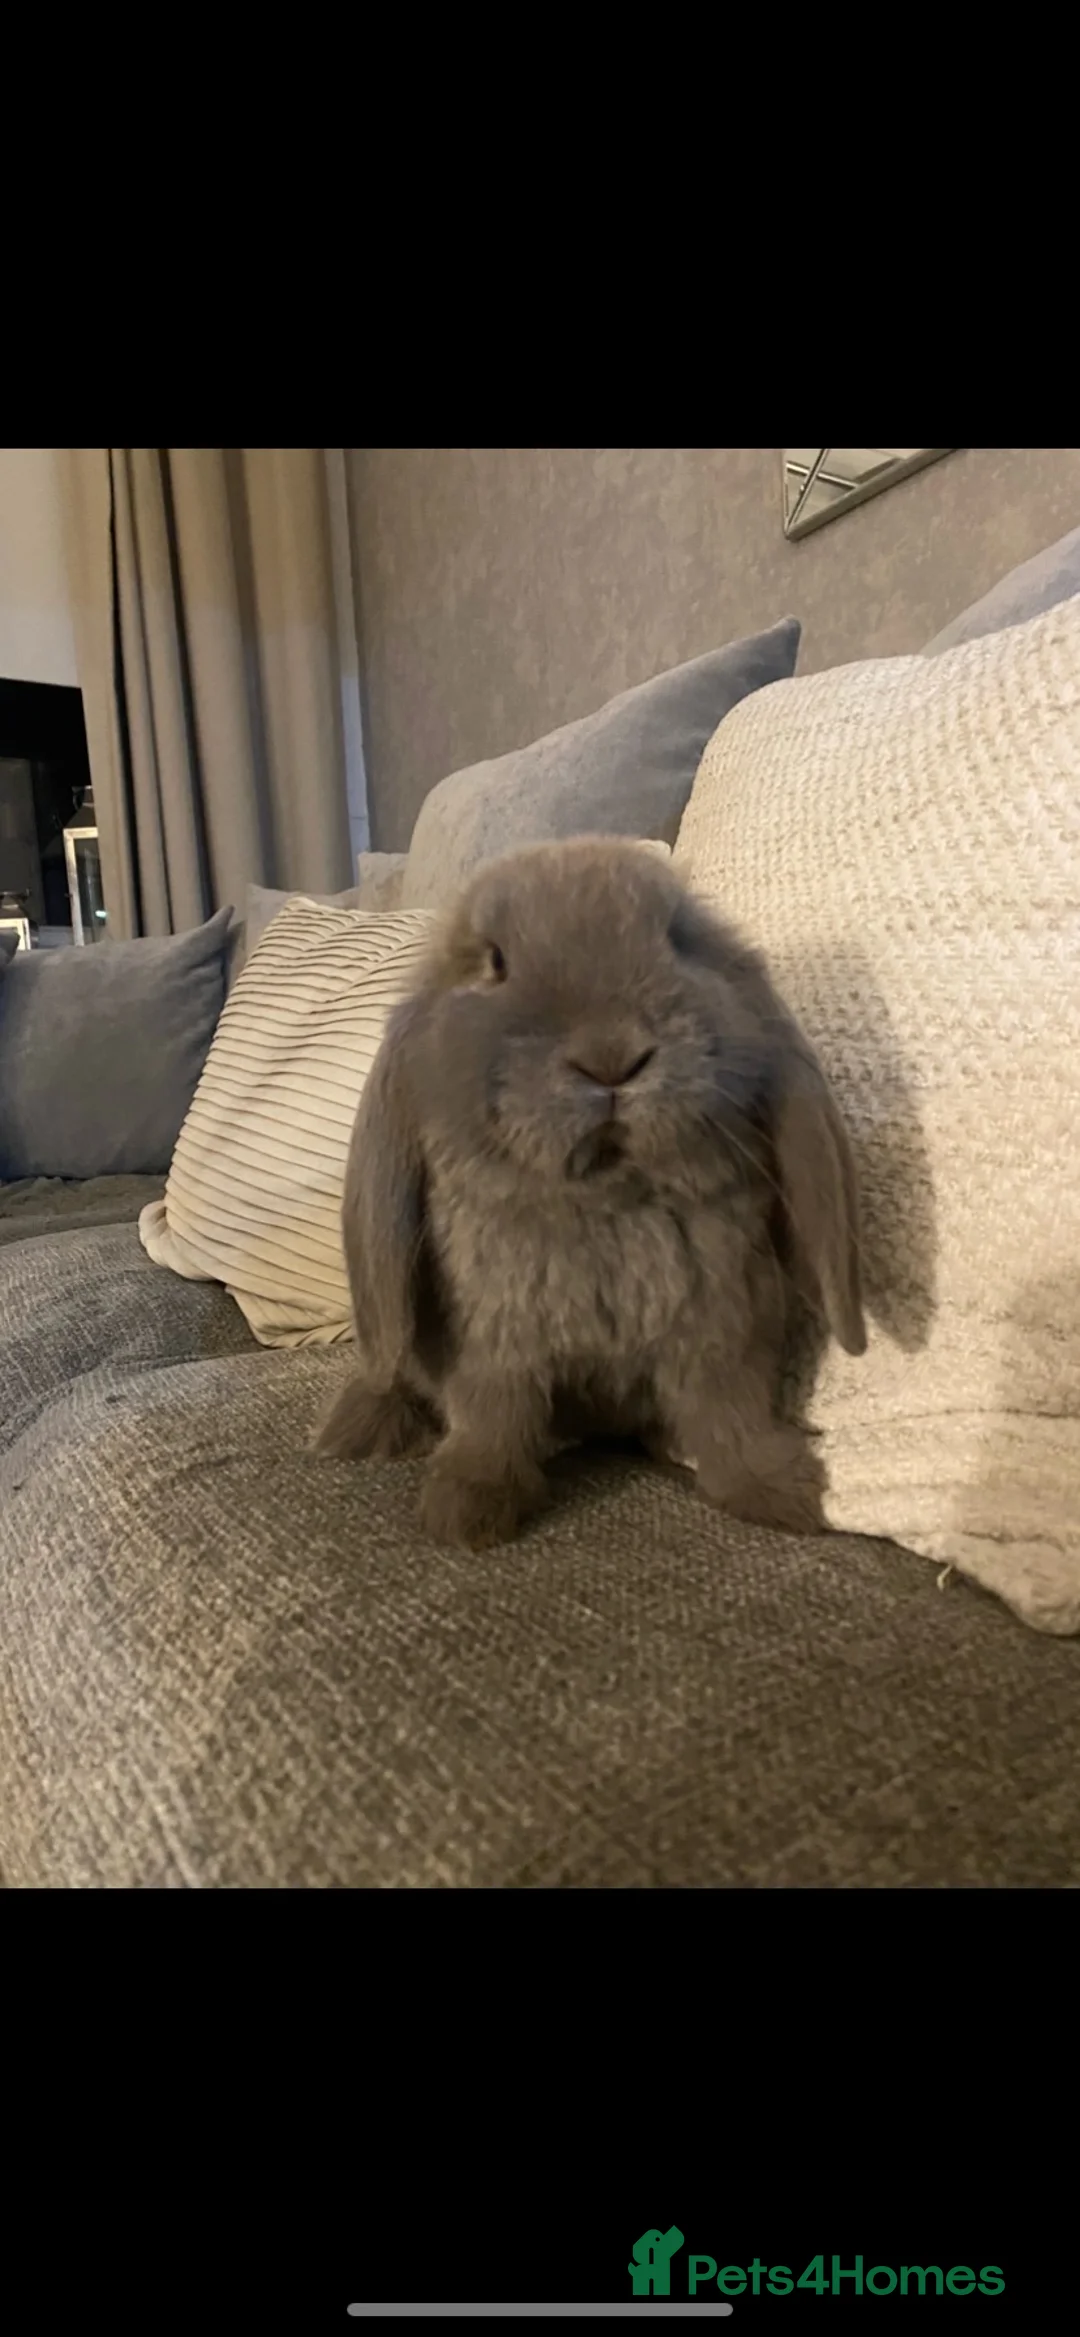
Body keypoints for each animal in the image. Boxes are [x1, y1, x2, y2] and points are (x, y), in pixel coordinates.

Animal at [313, 835, 866, 1551]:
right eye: (494, 962)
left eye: (679, 938)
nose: (612, 1058)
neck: (607, 1202)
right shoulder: (494, 1350)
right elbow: (494, 1420)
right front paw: (468, 1511)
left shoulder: (724, 1335)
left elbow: (730, 1417)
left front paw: (781, 1495)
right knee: (394, 1374)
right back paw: (356, 1430)